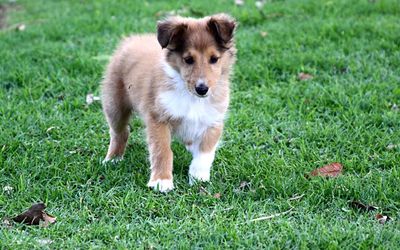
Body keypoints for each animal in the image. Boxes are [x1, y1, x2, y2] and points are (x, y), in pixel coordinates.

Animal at [101, 13, 236, 191]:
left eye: (214, 59)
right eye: (188, 59)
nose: (202, 89)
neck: (191, 96)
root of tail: (131, 40)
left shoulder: (213, 120)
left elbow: (205, 152)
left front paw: (198, 177)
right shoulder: (158, 118)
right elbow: (162, 150)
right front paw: (161, 181)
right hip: (115, 104)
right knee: (120, 132)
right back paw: (113, 159)